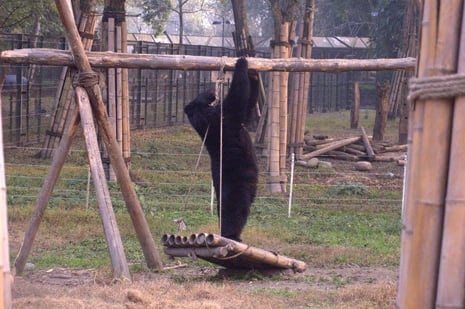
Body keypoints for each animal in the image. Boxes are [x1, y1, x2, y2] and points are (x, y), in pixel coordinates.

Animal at [184, 57, 258, 241]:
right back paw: (232, 236)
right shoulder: (221, 118)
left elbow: (248, 108)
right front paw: (242, 60)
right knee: (234, 211)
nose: (211, 90)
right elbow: (238, 98)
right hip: (236, 183)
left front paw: (254, 73)